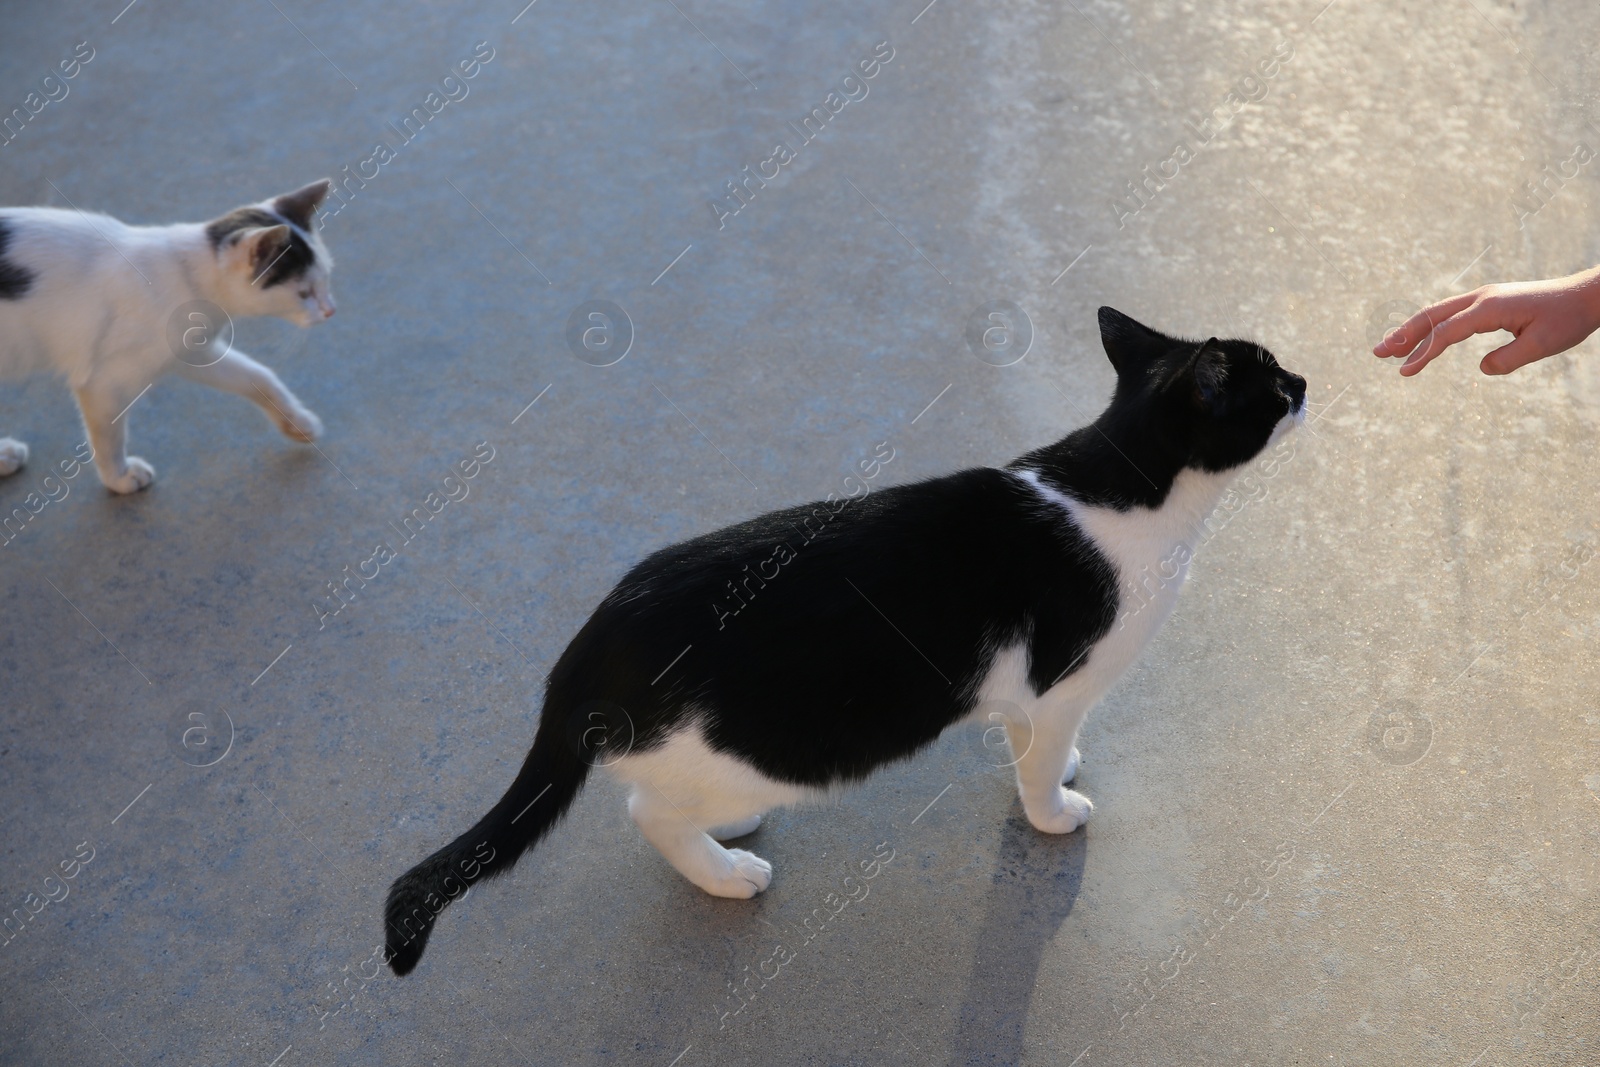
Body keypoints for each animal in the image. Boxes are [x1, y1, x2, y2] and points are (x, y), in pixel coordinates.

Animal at [0, 181, 337, 495]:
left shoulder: (192, 352)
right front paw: (119, 478)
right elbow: (109, 438)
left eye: (326, 278)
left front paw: (298, 423)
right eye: (304, 293)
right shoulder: (103, 384)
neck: (187, 275)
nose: (331, 310)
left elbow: (258, 376)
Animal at [380, 308, 1305, 979]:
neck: (1125, 482)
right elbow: (1040, 766)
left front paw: (1059, 765)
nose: (1305, 379)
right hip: (753, 747)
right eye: (1269, 380)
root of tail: (587, 646)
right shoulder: (1062, 683)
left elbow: (1029, 741)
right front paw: (1054, 810)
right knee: (648, 811)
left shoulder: (1031, 696)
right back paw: (727, 871)